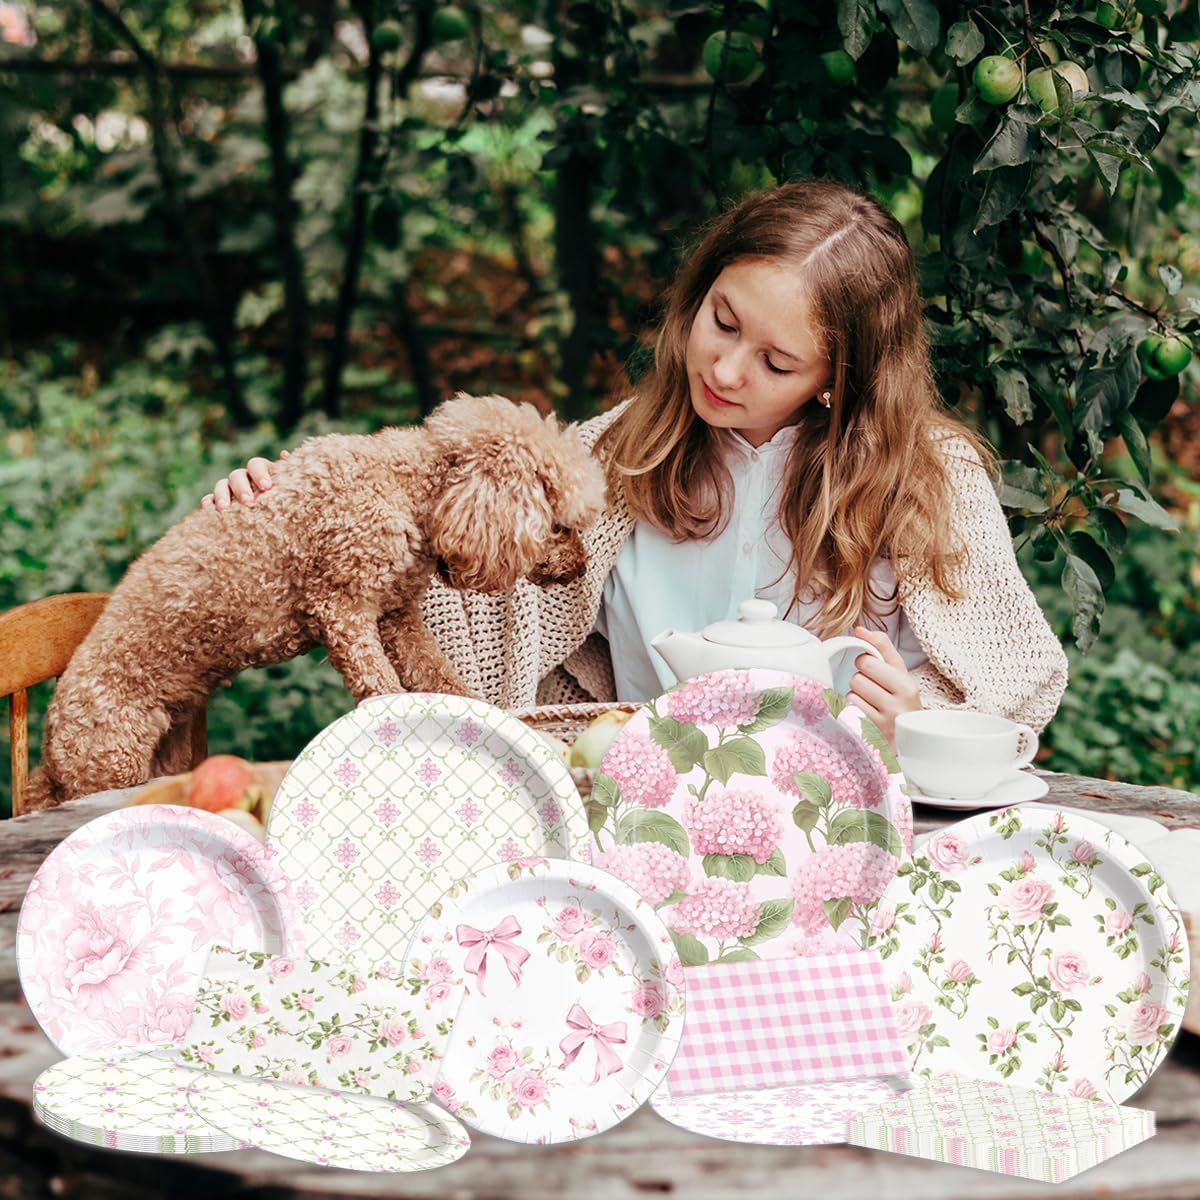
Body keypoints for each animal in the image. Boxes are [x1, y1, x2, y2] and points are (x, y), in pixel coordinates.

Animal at [28, 393, 607, 808]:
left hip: (161, 750)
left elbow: (438, 677)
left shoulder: (396, 616)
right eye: (560, 525)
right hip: (110, 755)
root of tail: (51, 745)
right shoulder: (345, 611)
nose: (581, 565)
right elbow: (382, 687)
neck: (407, 488)